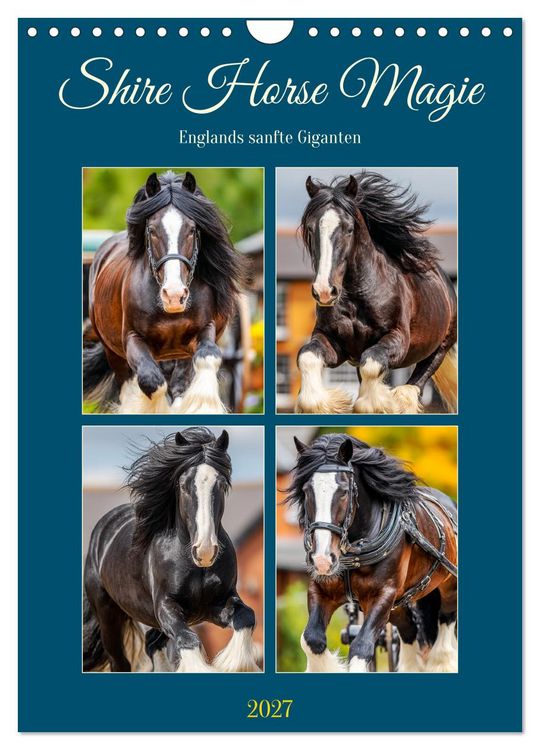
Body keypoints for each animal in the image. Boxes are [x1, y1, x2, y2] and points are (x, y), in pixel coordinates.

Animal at [83, 170, 248, 414]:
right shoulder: (132, 339)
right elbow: (152, 382)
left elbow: (207, 358)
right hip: (114, 354)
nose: (174, 296)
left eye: (192, 230)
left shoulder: (203, 331)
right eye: (152, 231)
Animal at [83, 427, 260, 673]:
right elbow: (188, 640)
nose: (204, 551)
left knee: (152, 644)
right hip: (108, 616)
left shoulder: (217, 605)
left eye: (222, 485)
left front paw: (235, 665)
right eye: (184, 486)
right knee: (120, 661)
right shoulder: (167, 607)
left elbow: (247, 617)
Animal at [287, 433, 458, 672]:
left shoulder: (383, 595)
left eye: (344, 491)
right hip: (399, 604)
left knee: (444, 633)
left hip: (448, 590)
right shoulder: (321, 590)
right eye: (306, 491)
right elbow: (312, 639)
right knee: (410, 632)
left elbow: (361, 646)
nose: (322, 560)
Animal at [295, 172, 457, 414]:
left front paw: (376, 403)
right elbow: (307, 356)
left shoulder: (397, 339)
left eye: (349, 229)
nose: (324, 291)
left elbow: (372, 364)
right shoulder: (334, 342)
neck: (358, 296)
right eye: (311, 229)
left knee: (412, 387)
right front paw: (327, 403)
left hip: (439, 348)